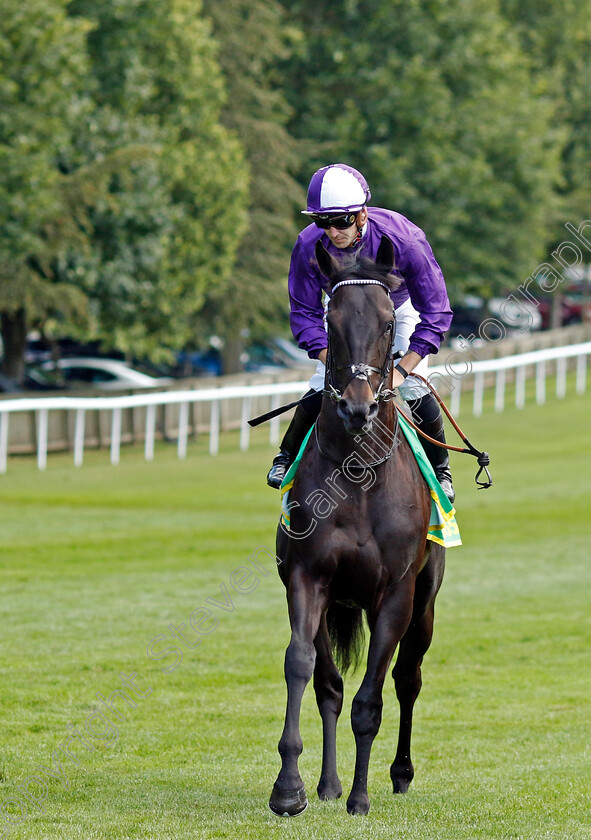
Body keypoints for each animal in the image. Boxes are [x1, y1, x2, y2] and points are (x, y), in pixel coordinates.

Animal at [270, 235, 446, 812]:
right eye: (331, 319)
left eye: (389, 323)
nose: (356, 407)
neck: (359, 475)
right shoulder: (307, 578)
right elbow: (304, 667)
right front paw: (291, 788)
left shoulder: (395, 595)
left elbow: (372, 697)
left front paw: (361, 798)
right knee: (330, 686)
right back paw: (328, 785)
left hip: (425, 600)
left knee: (407, 678)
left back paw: (399, 772)